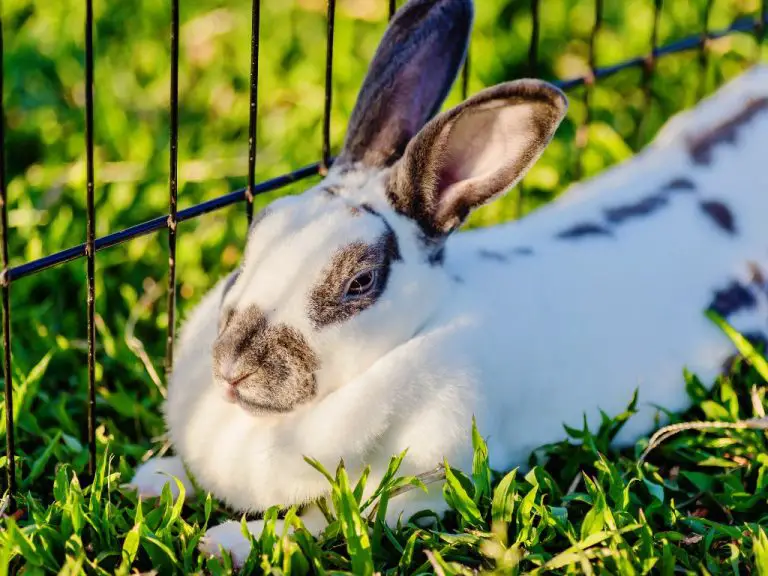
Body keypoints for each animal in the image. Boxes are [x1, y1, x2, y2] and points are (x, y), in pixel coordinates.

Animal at [129, 0, 768, 564]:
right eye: (259, 229)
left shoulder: (424, 485)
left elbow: (328, 519)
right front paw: (152, 480)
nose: (232, 368)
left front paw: (228, 544)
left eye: (360, 281)